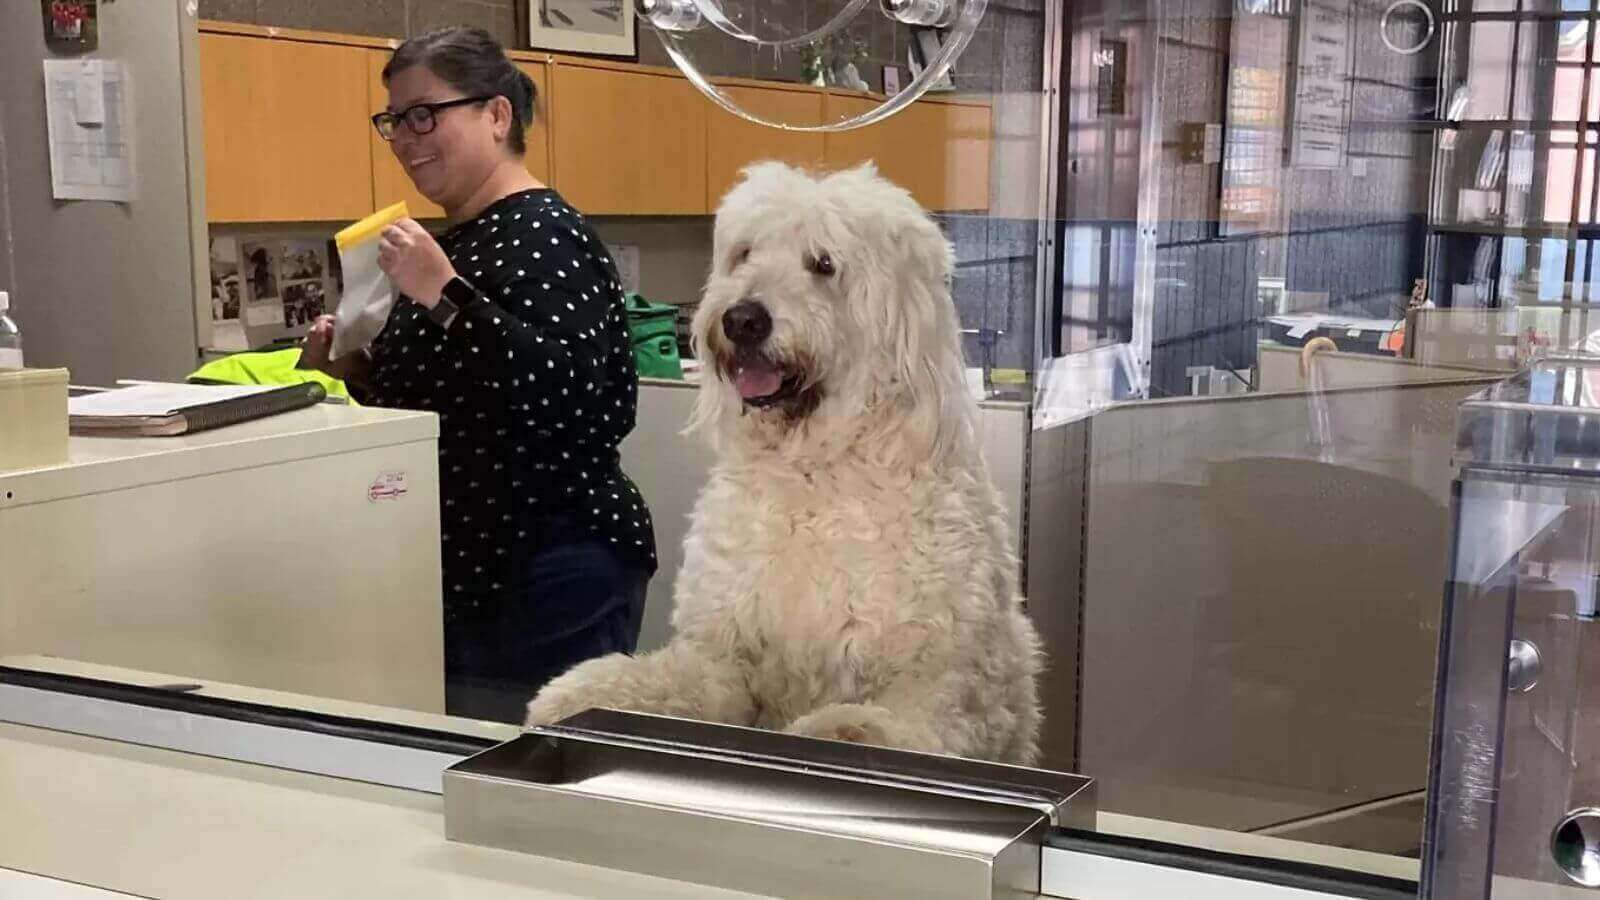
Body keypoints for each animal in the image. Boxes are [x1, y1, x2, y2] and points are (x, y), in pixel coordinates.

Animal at [524, 160, 1043, 762]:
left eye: (824, 263)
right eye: (744, 253)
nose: (742, 319)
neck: (814, 474)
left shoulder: (943, 674)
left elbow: (908, 718)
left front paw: (846, 730)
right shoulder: (728, 652)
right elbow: (679, 681)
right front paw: (583, 692)